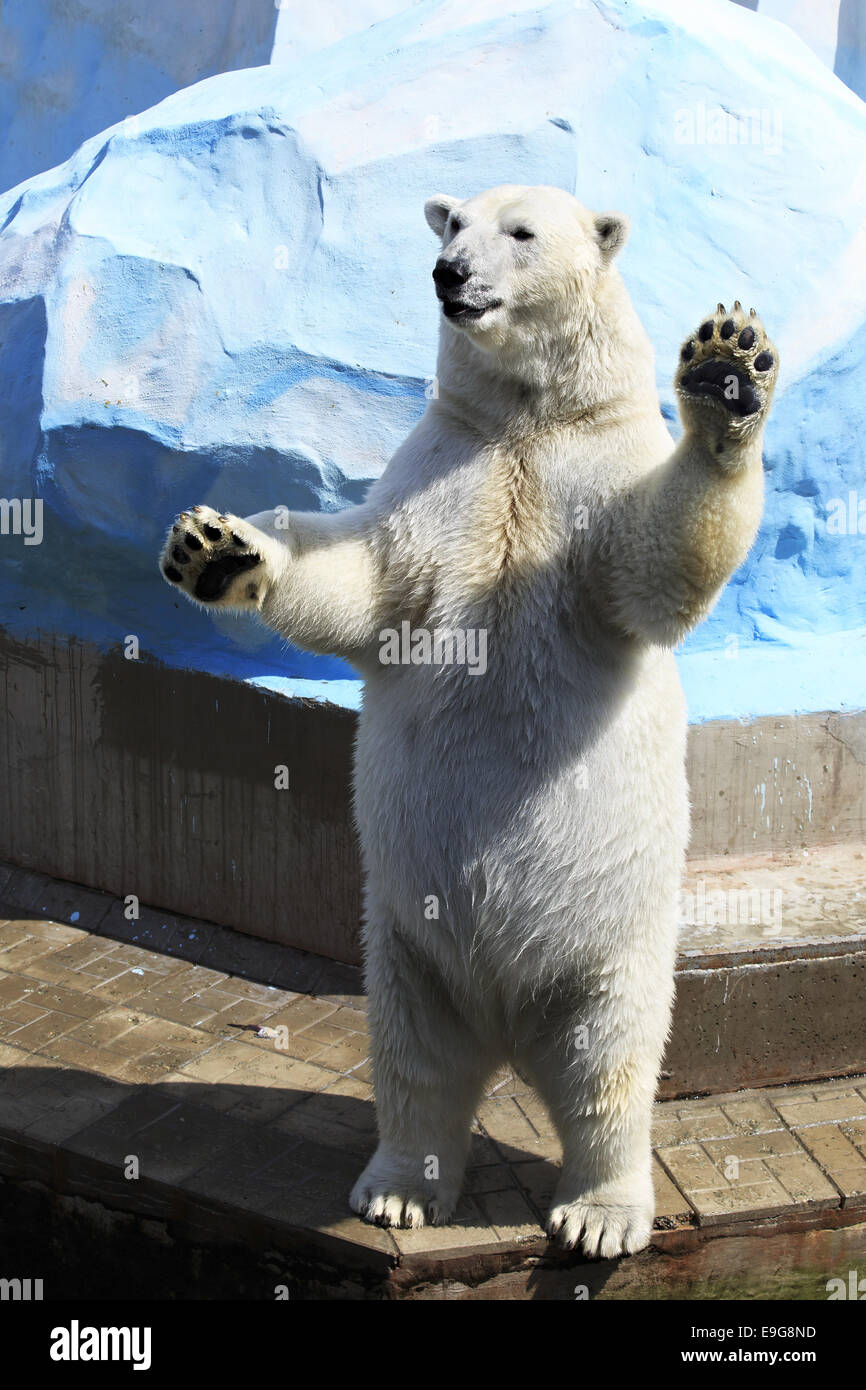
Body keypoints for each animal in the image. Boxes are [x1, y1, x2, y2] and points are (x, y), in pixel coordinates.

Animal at [160, 184, 777, 1258]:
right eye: (453, 226)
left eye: (520, 233)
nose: (451, 275)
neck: (528, 419)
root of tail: (509, 1025)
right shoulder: (444, 470)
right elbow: (365, 584)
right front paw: (220, 550)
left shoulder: (589, 473)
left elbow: (652, 566)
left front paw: (726, 368)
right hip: (405, 941)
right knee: (416, 1064)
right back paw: (402, 1188)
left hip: (611, 948)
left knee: (611, 1067)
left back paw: (601, 1213)